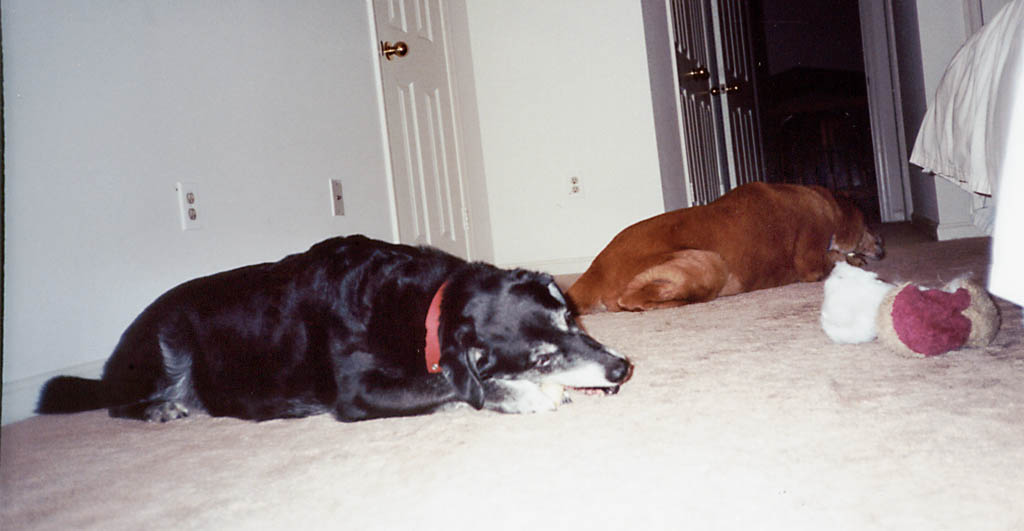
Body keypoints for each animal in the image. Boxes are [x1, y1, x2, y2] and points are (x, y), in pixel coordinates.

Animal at [36, 237, 630, 423]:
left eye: (569, 318)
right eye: (540, 358)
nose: (622, 368)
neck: (426, 308)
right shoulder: (358, 392)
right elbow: (449, 384)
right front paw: (527, 394)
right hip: (167, 338)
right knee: (115, 403)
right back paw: (160, 407)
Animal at [565, 184, 884, 315]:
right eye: (868, 223)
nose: (883, 248)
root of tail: (595, 269)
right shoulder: (811, 263)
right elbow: (838, 258)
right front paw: (854, 258)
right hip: (711, 261)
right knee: (629, 300)